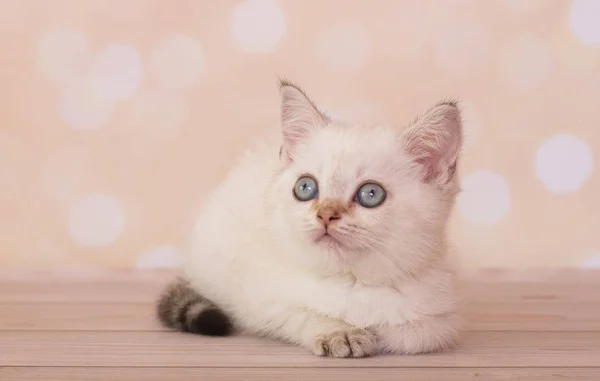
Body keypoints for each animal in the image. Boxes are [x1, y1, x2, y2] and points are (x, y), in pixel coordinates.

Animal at [158, 80, 464, 356]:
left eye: (371, 194)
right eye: (306, 188)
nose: (326, 214)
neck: (350, 281)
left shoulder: (442, 318)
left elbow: (412, 333)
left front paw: (377, 330)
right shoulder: (259, 302)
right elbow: (302, 314)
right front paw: (340, 332)